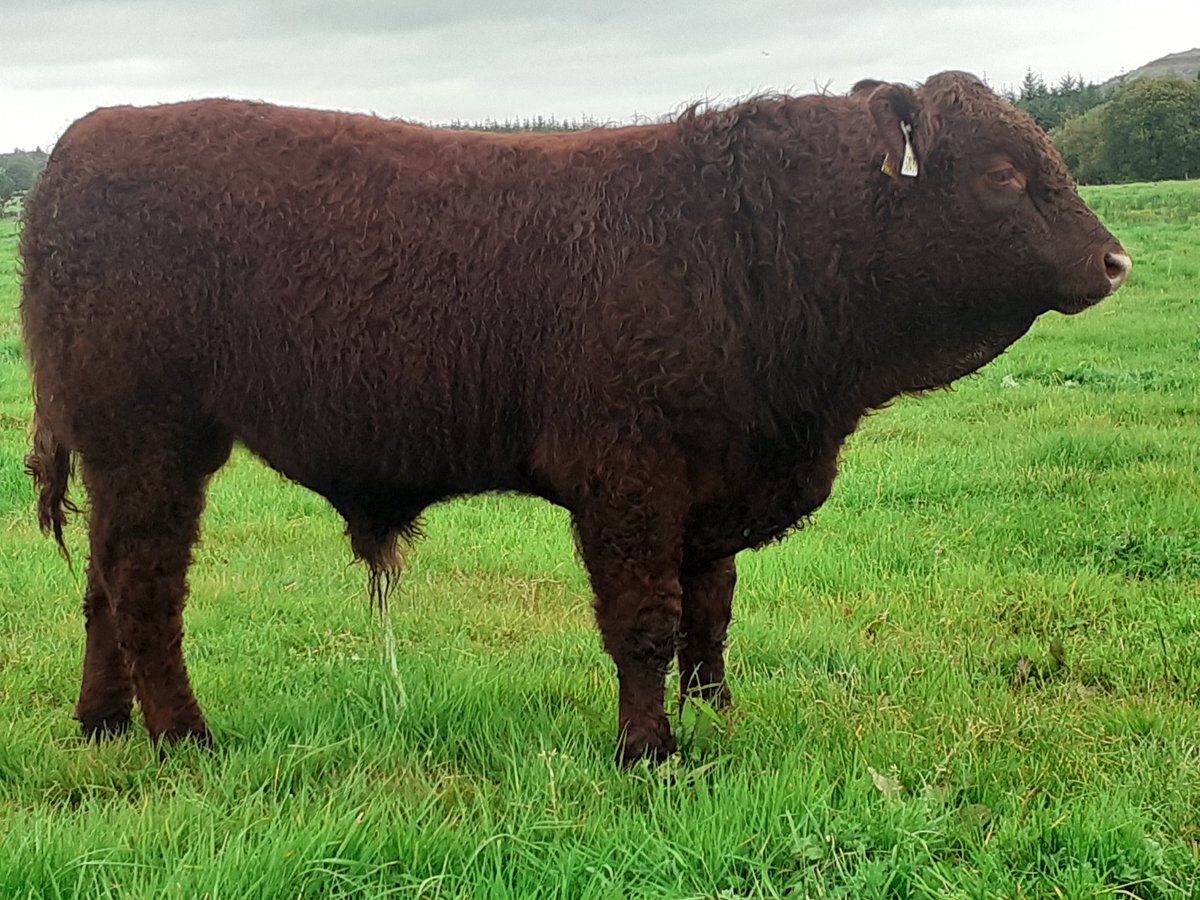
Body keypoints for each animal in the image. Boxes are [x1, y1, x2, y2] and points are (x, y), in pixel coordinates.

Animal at [21, 72, 1131, 765]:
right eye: (1003, 175)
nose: (1116, 260)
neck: (748, 239)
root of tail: (82, 140)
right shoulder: (628, 479)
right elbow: (644, 623)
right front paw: (651, 754)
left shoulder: (709, 490)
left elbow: (709, 617)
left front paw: (718, 719)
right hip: (152, 442)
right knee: (145, 591)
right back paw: (186, 739)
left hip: (129, 457)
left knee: (104, 589)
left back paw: (104, 728)